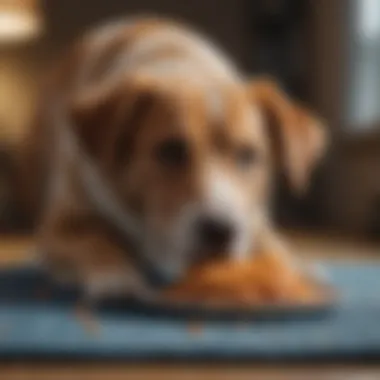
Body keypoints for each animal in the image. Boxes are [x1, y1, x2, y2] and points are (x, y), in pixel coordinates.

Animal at [18, 17, 326, 300]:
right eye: (170, 151)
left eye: (248, 155)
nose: (219, 231)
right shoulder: (61, 226)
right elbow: (96, 242)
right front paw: (117, 279)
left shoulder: (253, 222)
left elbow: (275, 251)